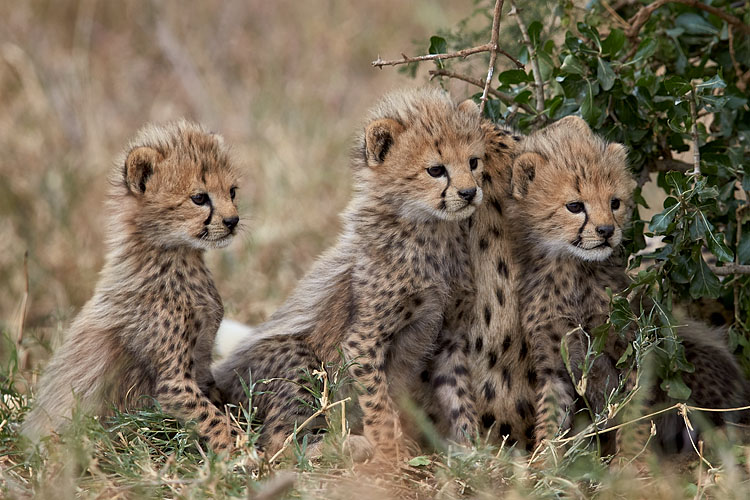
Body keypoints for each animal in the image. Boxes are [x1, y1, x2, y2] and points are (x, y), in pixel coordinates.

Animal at [22, 120, 246, 454]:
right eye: (199, 198)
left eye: (231, 192)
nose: (233, 220)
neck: (176, 257)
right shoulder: (173, 383)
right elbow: (214, 419)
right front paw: (247, 451)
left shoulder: (202, 367)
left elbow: (219, 404)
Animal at [212, 88, 486, 460]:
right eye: (435, 169)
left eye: (473, 162)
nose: (469, 193)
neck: (431, 231)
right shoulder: (362, 340)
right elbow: (377, 399)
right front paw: (390, 450)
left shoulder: (449, 337)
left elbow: (458, 395)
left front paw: (474, 450)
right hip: (296, 361)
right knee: (277, 441)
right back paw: (346, 446)